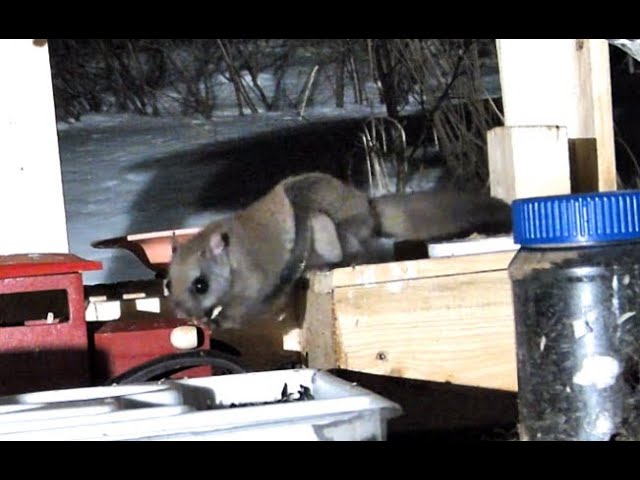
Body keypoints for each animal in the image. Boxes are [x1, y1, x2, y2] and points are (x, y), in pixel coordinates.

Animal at [166, 172, 512, 329]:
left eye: (200, 284)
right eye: (168, 284)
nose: (181, 313)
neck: (231, 255)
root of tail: (369, 208)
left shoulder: (254, 284)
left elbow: (242, 309)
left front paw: (215, 323)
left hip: (327, 228)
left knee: (359, 252)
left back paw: (330, 264)